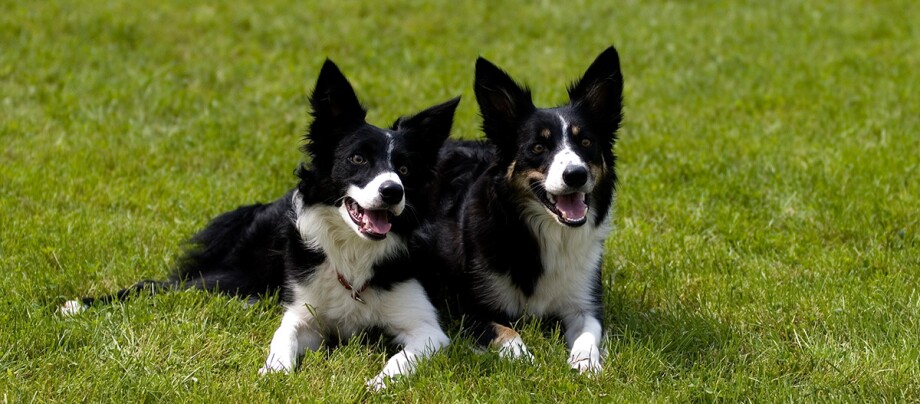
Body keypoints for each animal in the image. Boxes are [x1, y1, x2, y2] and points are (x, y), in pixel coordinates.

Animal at [61, 59, 456, 388]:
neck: (354, 254)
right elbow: (284, 333)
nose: (393, 191)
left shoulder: (428, 330)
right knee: (159, 285)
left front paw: (378, 383)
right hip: (236, 274)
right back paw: (77, 305)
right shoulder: (305, 312)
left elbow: (402, 358)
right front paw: (275, 371)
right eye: (358, 159)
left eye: (404, 168)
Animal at [420, 46, 620, 372]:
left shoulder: (585, 302)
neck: (547, 234)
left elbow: (589, 333)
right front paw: (525, 360)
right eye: (538, 147)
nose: (576, 174)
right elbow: (507, 332)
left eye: (586, 142)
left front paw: (586, 365)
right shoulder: (467, 309)